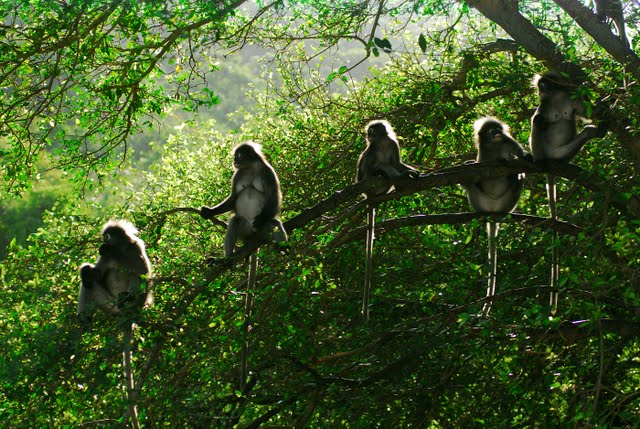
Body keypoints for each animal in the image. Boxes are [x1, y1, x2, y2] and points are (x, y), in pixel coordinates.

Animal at [77, 221, 152, 428]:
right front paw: (86, 271)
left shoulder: (136, 249)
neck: (120, 251)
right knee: (90, 286)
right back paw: (83, 320)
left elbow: (144, 277)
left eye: (106, 236)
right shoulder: (107, 256)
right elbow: (97, 275)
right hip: (107, 304)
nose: (102, 242)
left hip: (128, 303)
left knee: (134, 280)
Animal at [202, 142, 288, 390]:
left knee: (272, 222)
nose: (234, 159)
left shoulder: (267, 172)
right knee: (235, 221)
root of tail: (252, 239)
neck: (250, 169)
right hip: (243, 229)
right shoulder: (238, 175)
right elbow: (233, 199)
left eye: (239, 155)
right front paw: (210, 212)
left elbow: (275, 200)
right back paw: (227, 259)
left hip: (261, 230)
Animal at [356, 118, 420, 320]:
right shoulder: (372, 149)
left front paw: (412, 171)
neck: (382, 142)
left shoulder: (391, 143)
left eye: (371, 130)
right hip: (369, 186)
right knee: (378, 168)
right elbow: (366, 168)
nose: (367, 134)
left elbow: (397, 163)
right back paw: (389, 175)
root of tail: (369, 196)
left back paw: (402, 181)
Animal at [460, 118, 528, 316]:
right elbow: (475, 169)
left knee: (520, 177)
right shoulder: (483, 154)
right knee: (470, 183)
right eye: (491, 130)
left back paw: (514, 179)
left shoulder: (507, 141)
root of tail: (493, 212)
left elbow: (520, 156)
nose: (497, 132)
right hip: (478, 200)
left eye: (498, 129)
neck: (495, 146)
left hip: (508, 202)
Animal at [528, 72, 604, 312]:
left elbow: (587, 114)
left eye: (544, 84)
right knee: (538, 121)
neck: (556, 98)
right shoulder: (544, 105)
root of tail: (552, 158)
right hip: (545, 148)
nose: (540, 89)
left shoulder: (569, 97)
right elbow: (539, 117)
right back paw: (538, 160)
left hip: (564, 151)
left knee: (588, 130)